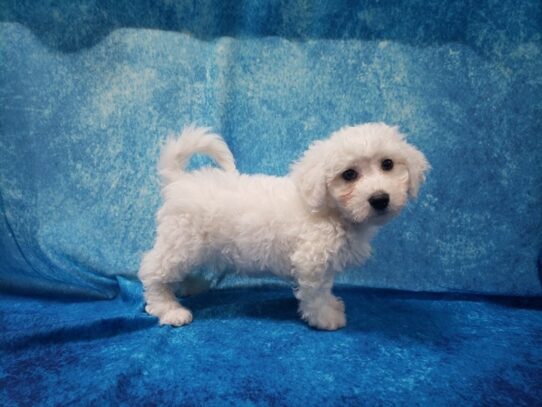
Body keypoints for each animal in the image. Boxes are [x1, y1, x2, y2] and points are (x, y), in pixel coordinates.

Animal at [140, 122, 430, 330]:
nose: (380, 199)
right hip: (181, 241)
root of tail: (179, 180)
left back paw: (191, 285)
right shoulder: (311, 262)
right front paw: (325, 317)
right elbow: (315, 294)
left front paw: (331, 305)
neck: (329, 210)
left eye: (388, 164)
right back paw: (169, 308)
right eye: (349, 174)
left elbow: (326, 288)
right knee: (152, 271)